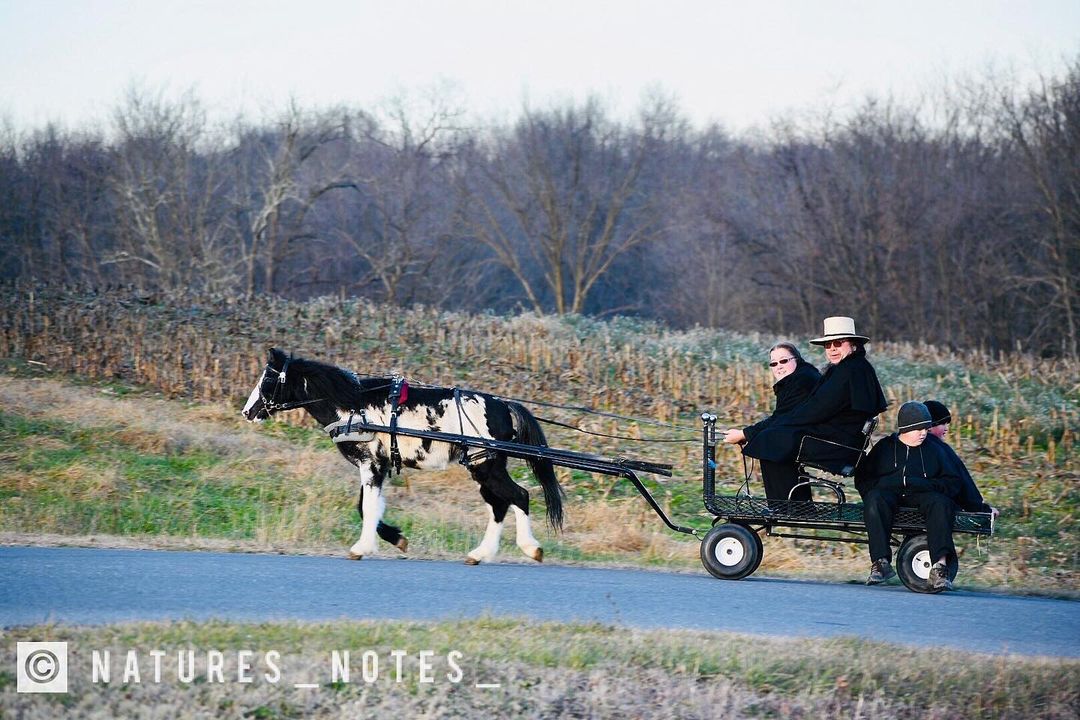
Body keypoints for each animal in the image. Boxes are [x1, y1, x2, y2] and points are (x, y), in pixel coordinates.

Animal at [241, 347, 565, 561]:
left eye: (267, 380)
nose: (247, 412)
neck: (353, 406)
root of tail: (504, 406)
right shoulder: (378, 466)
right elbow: (367, 508)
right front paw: (395, 538)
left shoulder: (370, 465)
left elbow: (368, 507)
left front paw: (362, 547)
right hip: (481, 467)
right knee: (499, 505)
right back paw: (480, 553)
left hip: (487, 467)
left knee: (519, 496)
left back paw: (530, 548)